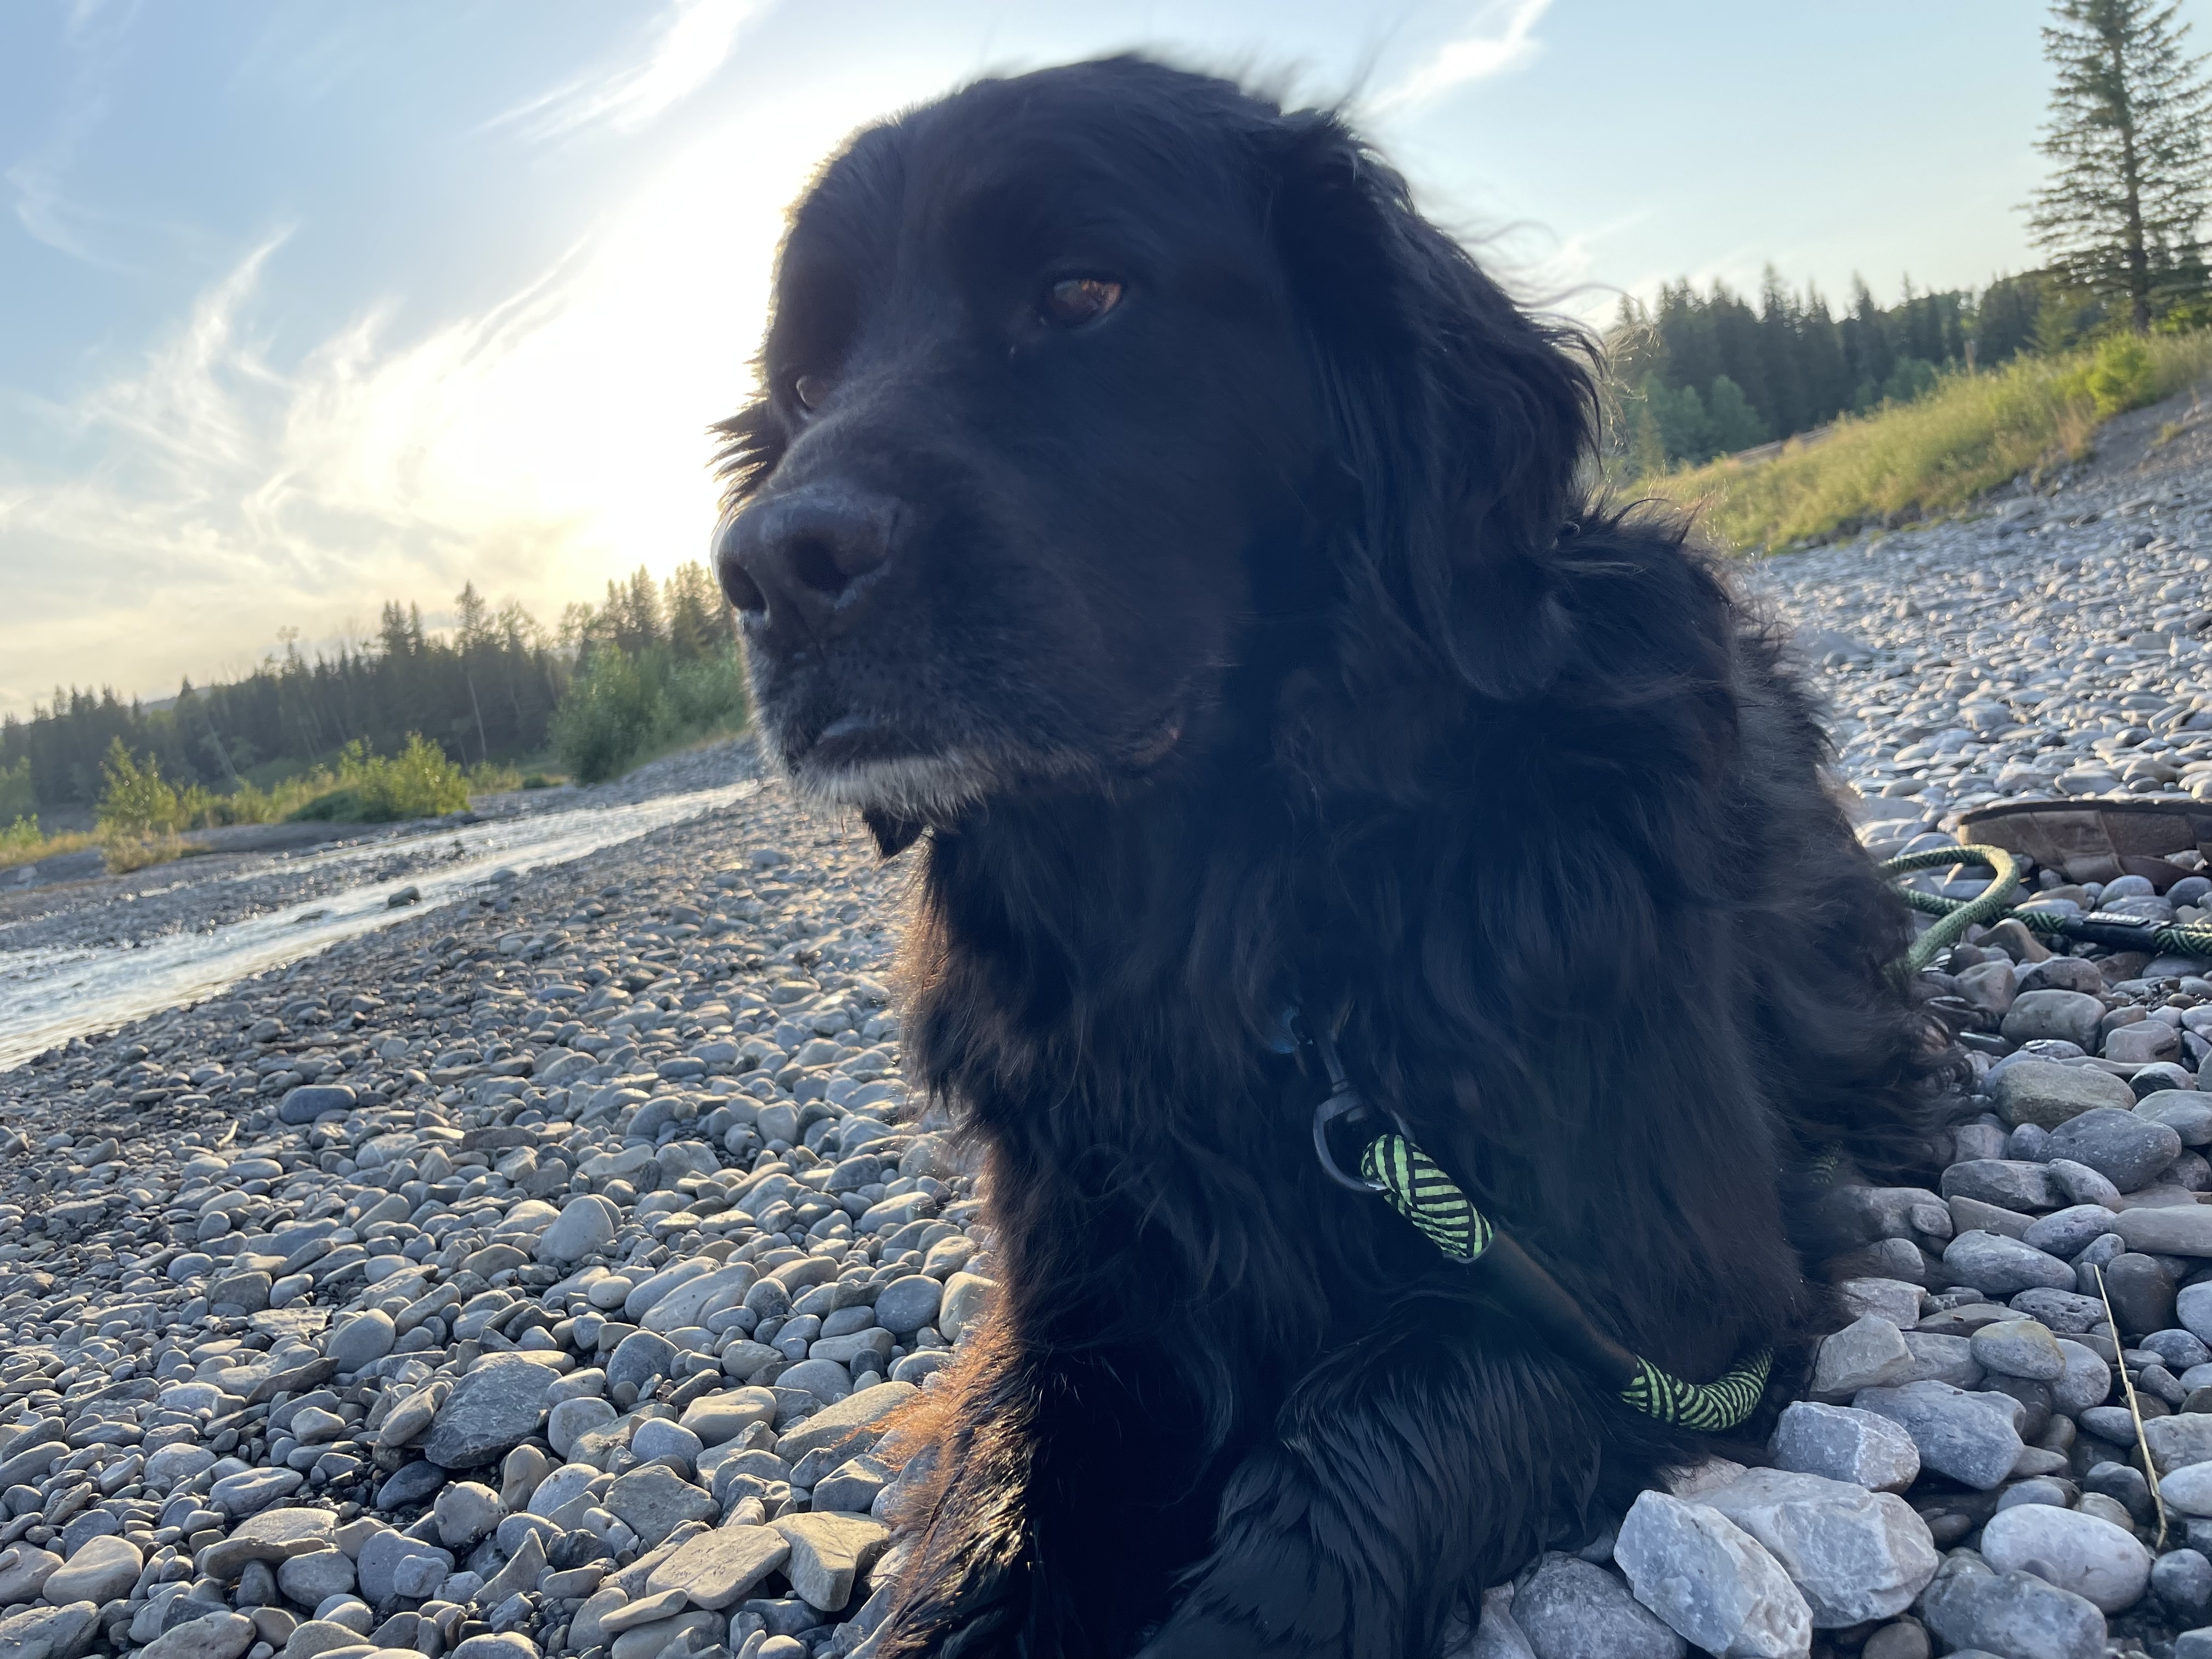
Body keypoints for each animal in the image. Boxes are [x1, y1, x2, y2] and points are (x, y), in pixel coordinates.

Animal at [711, 57, 1932, 1659]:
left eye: (1083, 289)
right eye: (801, 384)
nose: (768, 568)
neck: (1245, 917)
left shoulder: (1657, 1285)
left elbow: (1373, 1429)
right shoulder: (1086, 1299)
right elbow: (1010, 1505)